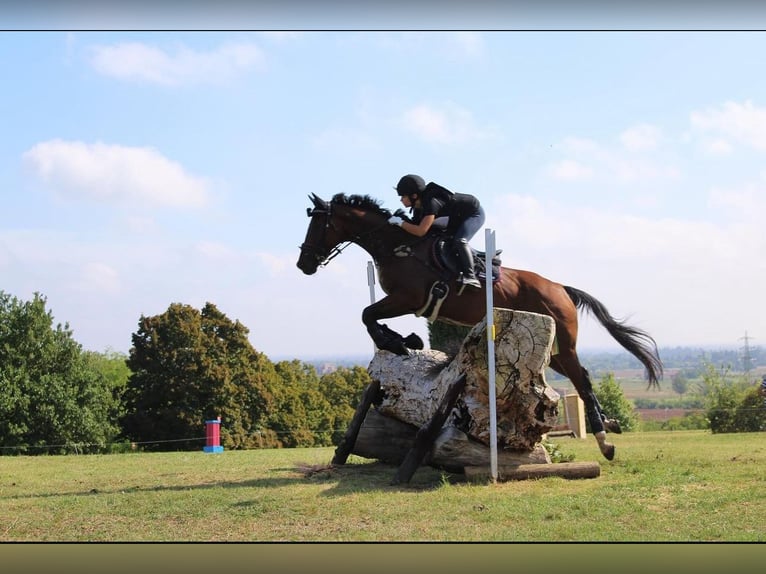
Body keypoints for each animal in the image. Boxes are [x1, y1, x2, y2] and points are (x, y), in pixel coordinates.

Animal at [296, 191, 664, 462]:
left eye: (319, 225)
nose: (303, 264)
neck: (397, 247)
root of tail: (560, 288)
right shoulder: (404, 301)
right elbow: (368, 315)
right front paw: (406, 340)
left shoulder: (408, 298)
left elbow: (367, 315)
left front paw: (399, 341)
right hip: (555, 349)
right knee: (582, 377)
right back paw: (609, 428)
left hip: (564, 342)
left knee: (583, 383)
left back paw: (605, 441)